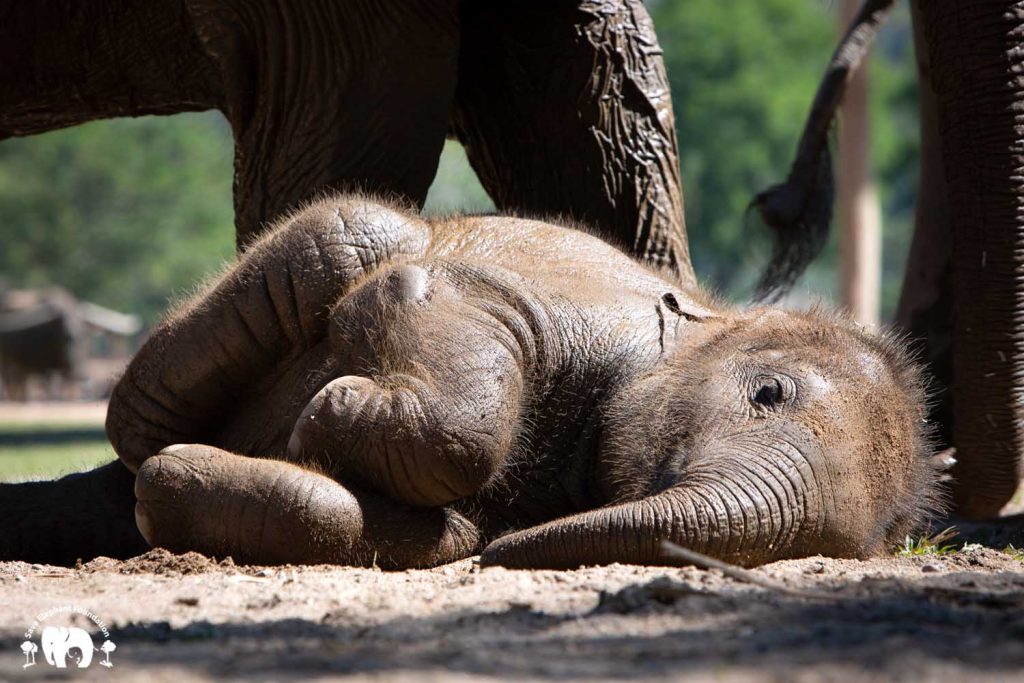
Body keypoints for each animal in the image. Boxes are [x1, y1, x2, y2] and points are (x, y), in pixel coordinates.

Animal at [90, 198, 942, 573]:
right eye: (769, 393)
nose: (508, 556)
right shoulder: (568, 309)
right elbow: (417, 296)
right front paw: (322, 419)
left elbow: (420, 523)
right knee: (353, 233)